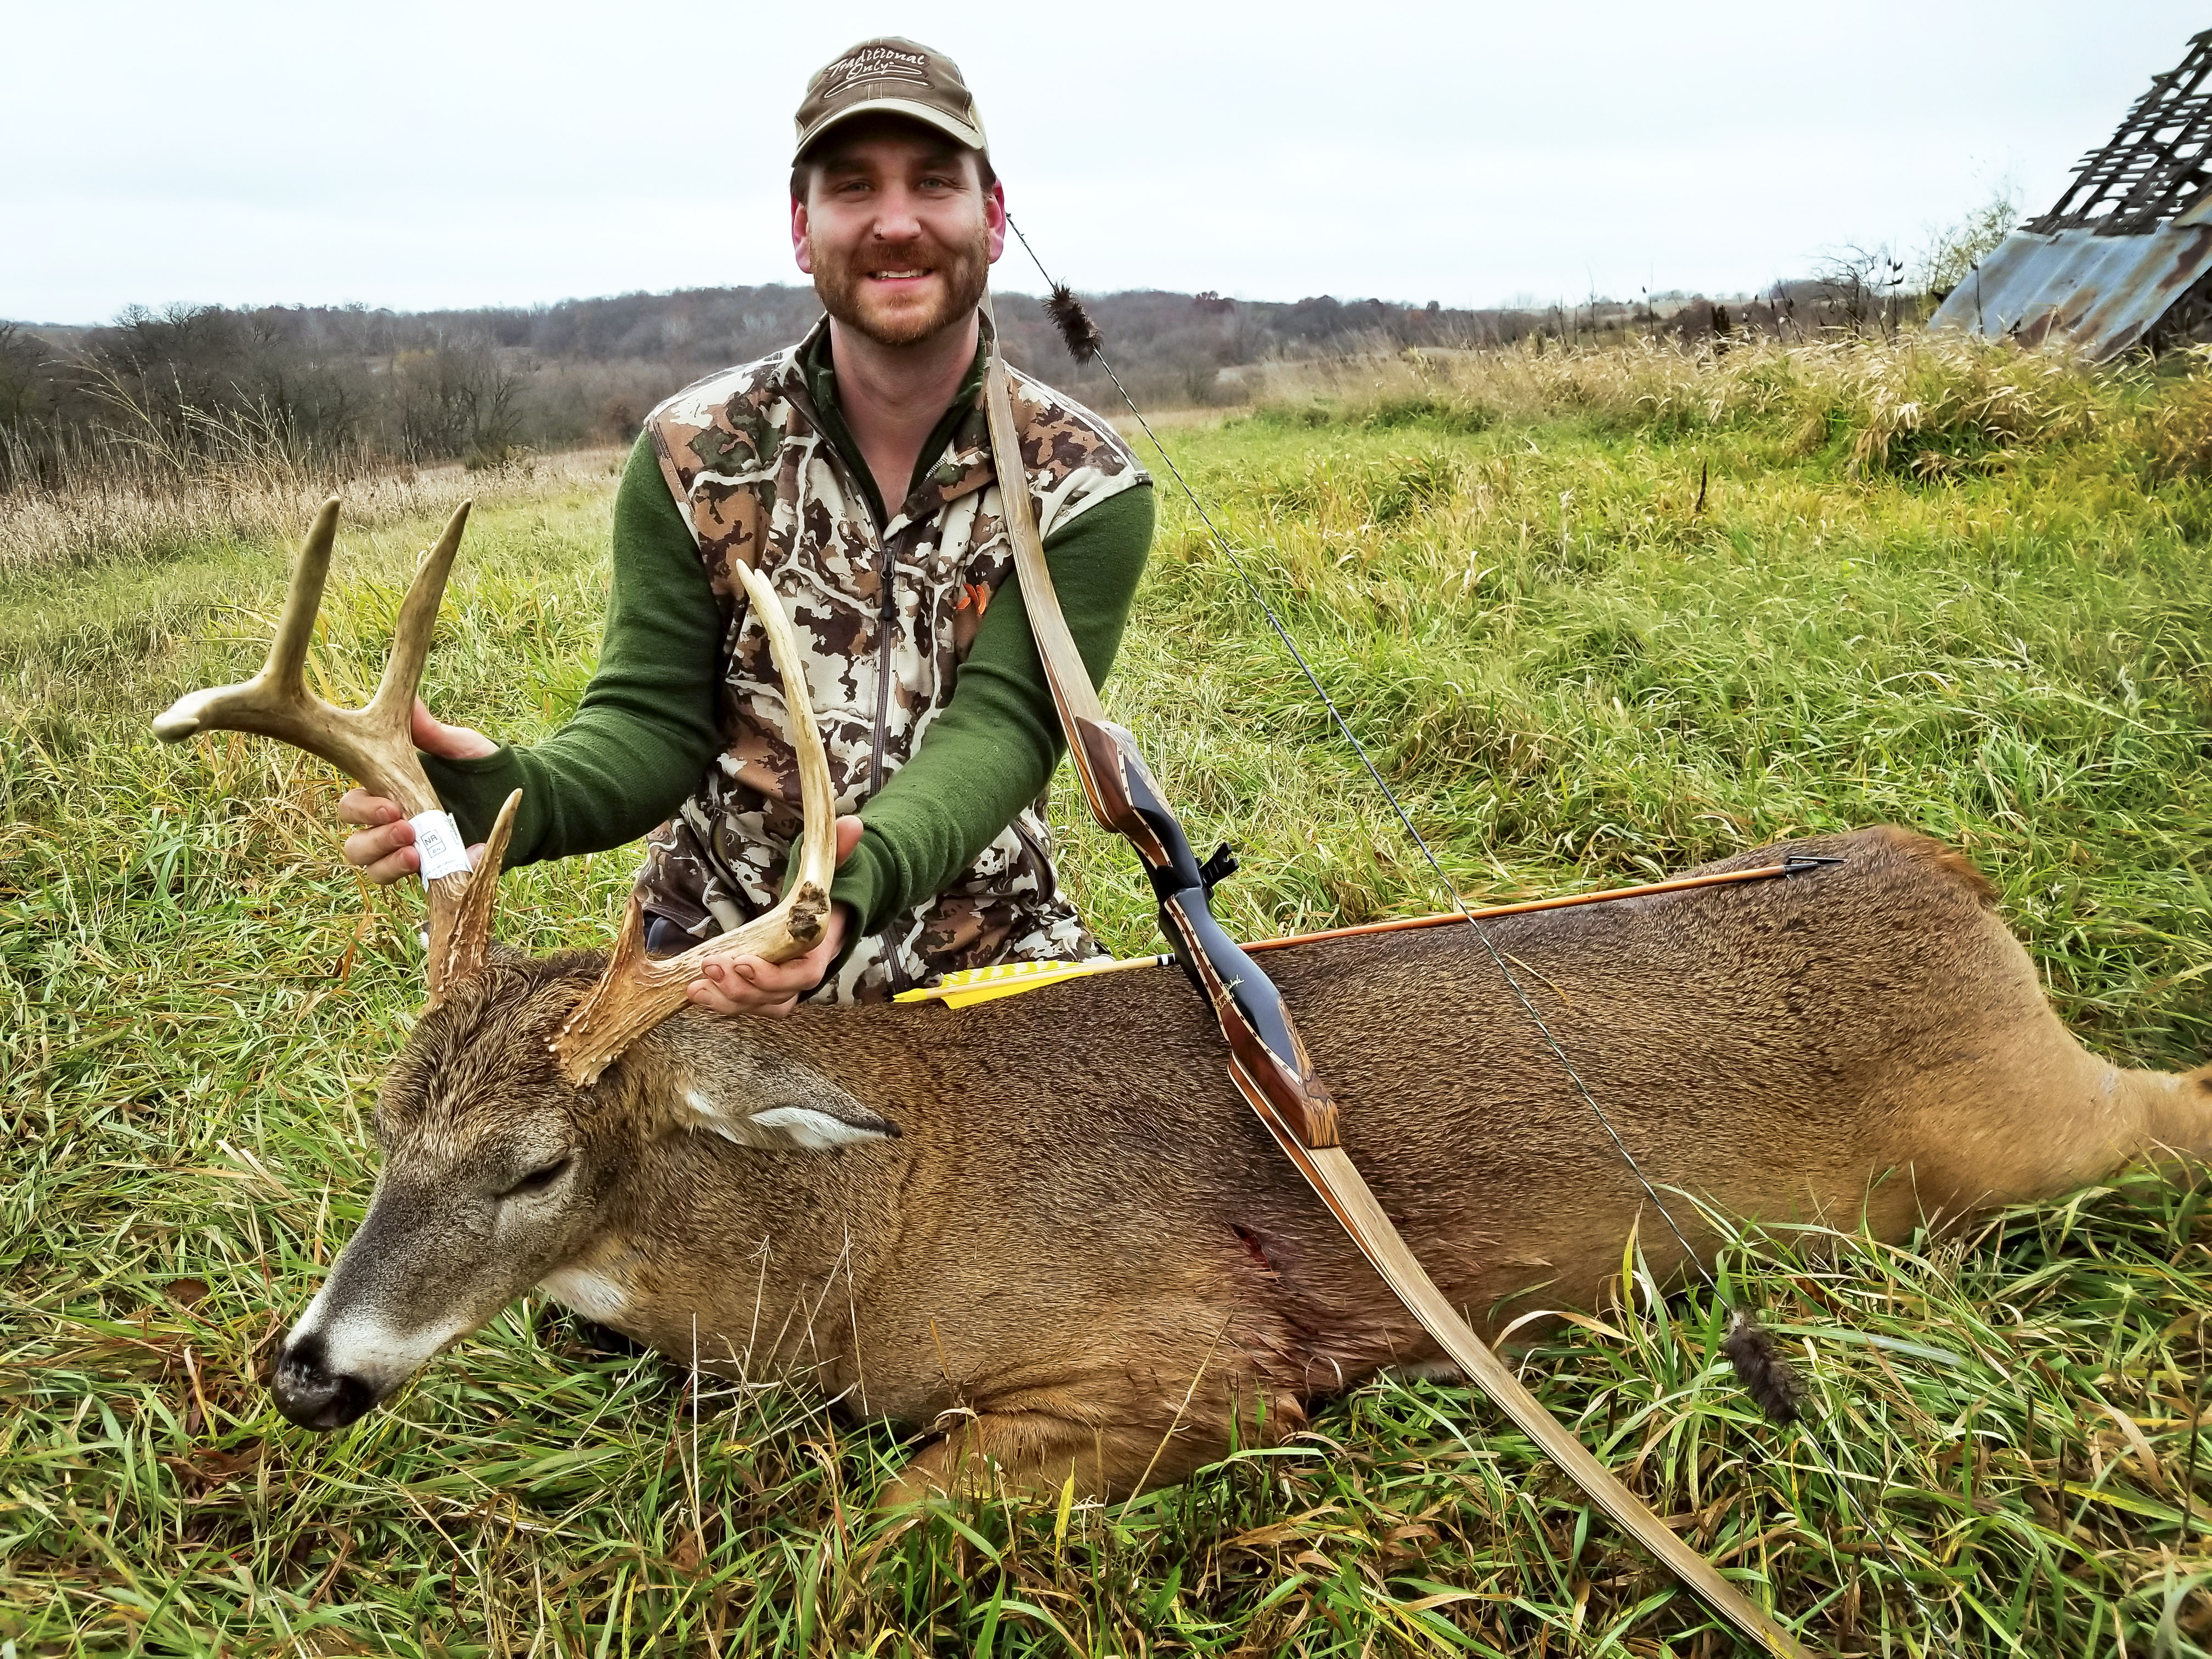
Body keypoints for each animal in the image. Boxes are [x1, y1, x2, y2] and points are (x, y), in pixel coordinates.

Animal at [155, 499, 2212, 1507]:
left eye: (532, 1165)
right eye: (382, 1130)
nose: (305, 1368)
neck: (866, 1226)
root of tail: (1949, 878)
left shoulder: (1200, 1355)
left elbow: (891, 1513)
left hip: (2023, 1123)